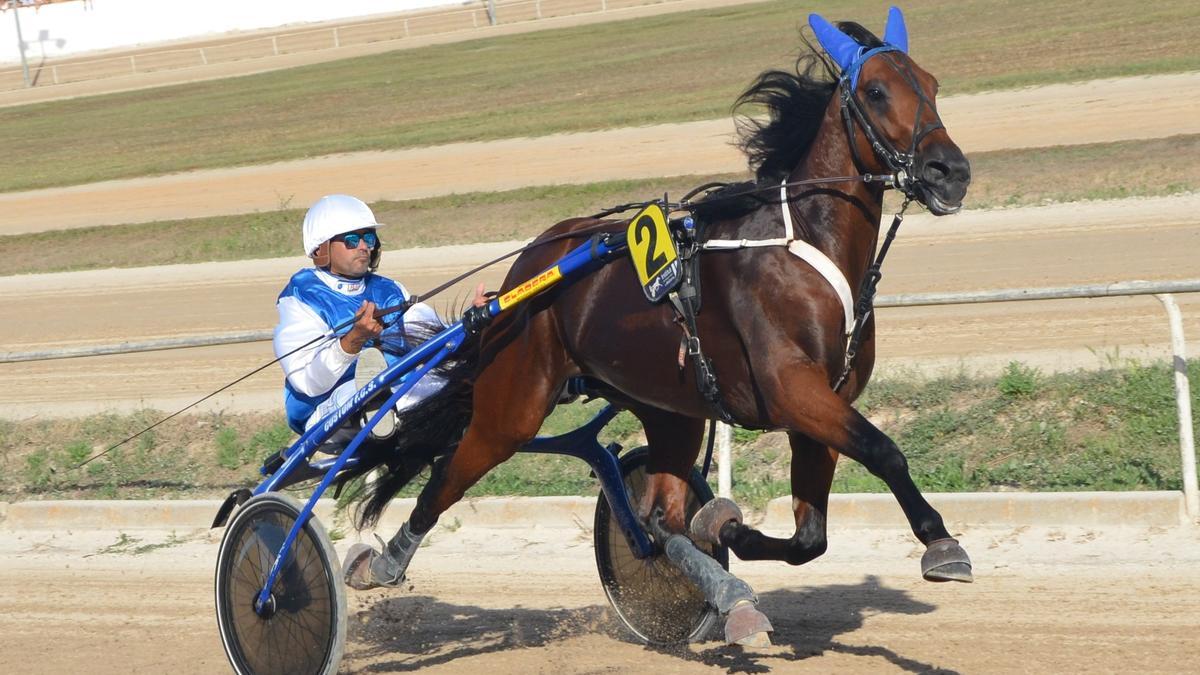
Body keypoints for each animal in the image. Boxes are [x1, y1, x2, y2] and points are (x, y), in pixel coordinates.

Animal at [348, 7, 974, 638]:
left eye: (933, 84)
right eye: (875, 91)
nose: (950, 171)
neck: (804, 248)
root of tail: (524, 272)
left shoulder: (824, 401)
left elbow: (808, 538)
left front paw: (723, 526)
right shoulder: (793, 389)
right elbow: (884, 450)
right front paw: (942, 545)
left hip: (671, 409)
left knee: (659, 520)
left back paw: (728, 593)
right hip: (514, 404)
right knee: (447, 476)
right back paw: (381, 563)